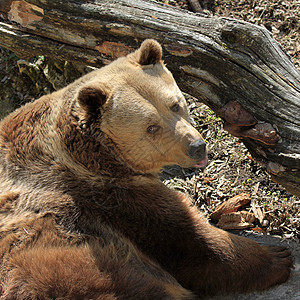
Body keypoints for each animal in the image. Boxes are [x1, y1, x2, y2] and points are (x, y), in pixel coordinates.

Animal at [0, 40, 292, 300]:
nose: (197, 147)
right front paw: (277, 257)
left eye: (175, 104)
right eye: (151, 127)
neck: (98, 156)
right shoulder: (107, 197)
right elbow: (188, 241)